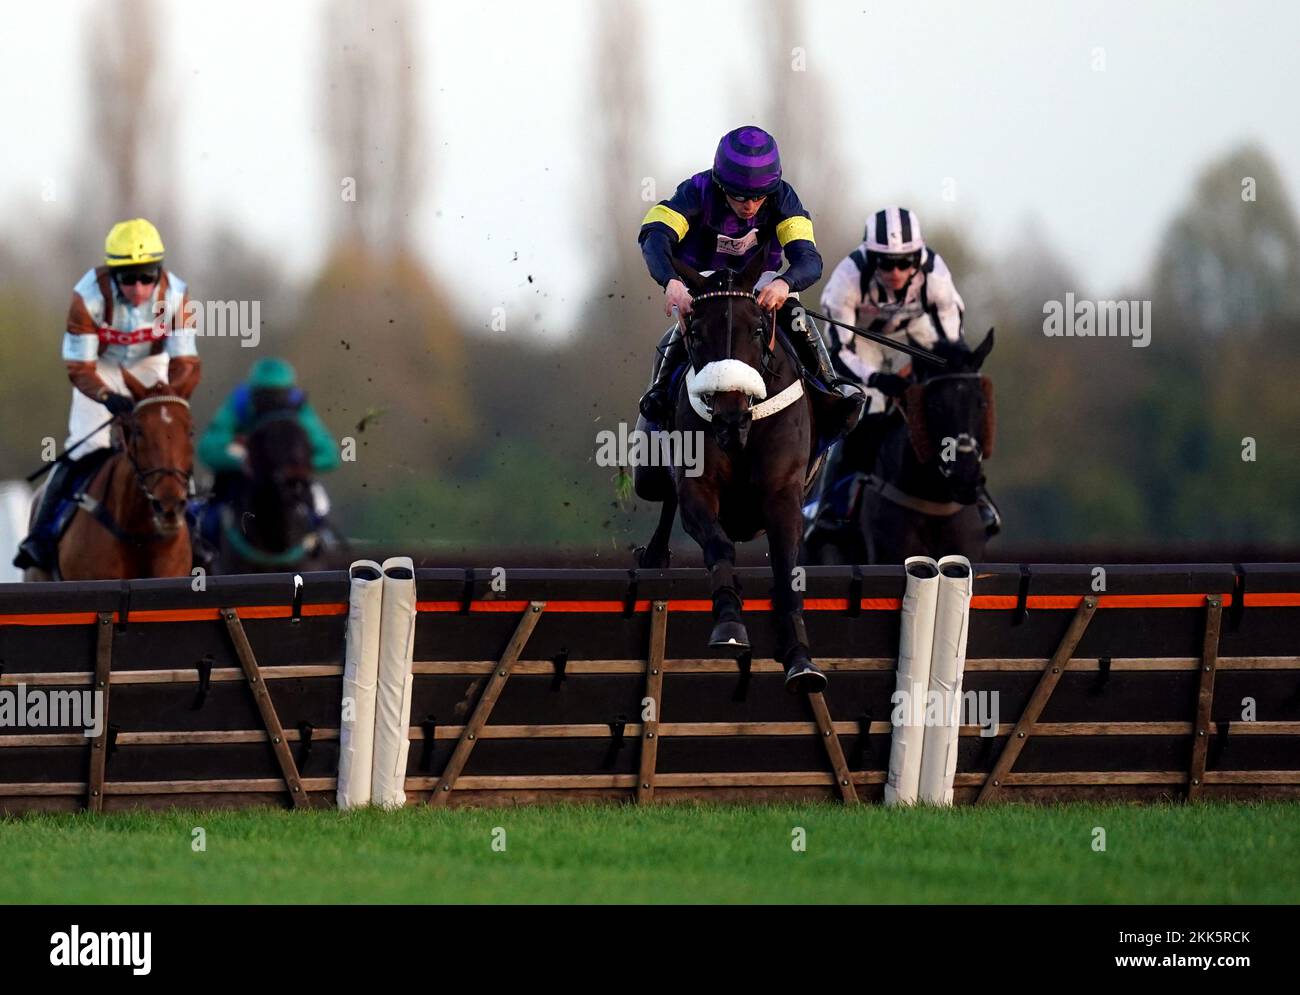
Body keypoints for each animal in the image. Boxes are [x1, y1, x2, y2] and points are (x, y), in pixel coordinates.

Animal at [634, 252, 837, 697]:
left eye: (758, 329)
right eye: (694, 333)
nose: (729, 418)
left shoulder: (783, 495)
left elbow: (786, 570)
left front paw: (801, 658)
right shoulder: (698, 486)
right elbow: (718, 545)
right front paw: (728, 623)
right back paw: (654, 555)